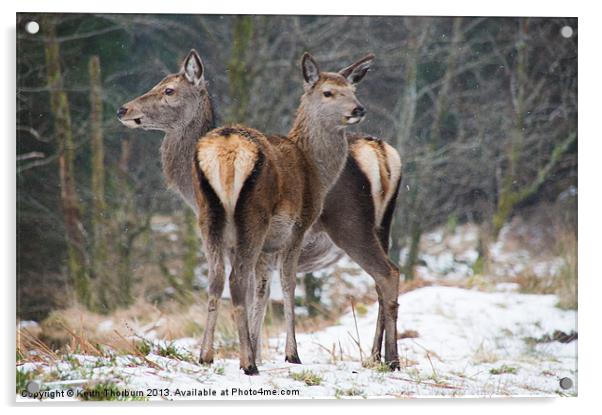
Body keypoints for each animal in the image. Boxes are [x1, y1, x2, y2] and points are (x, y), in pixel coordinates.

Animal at [116, 48, 398, 374]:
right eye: (161, 86)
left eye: (169, 90)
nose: (123, 109)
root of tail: (381, 152)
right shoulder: (271, 243)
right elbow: (262, 291)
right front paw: (259, 349)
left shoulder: (281, 235)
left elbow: (265, 290)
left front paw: (271, 352)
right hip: (366, 227)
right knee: (383, 277)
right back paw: (380, 357)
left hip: (343, 223)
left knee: (385, 274)